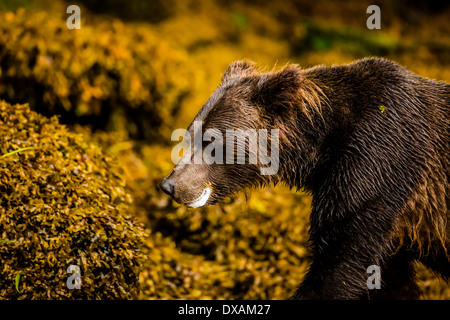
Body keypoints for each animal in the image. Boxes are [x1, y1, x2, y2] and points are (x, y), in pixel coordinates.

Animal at [160, 58, 448, 300]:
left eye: (210, 141)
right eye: (189, 135)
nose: (169, 185)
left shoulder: (379, 164)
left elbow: (340, 261)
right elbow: (391, 279)